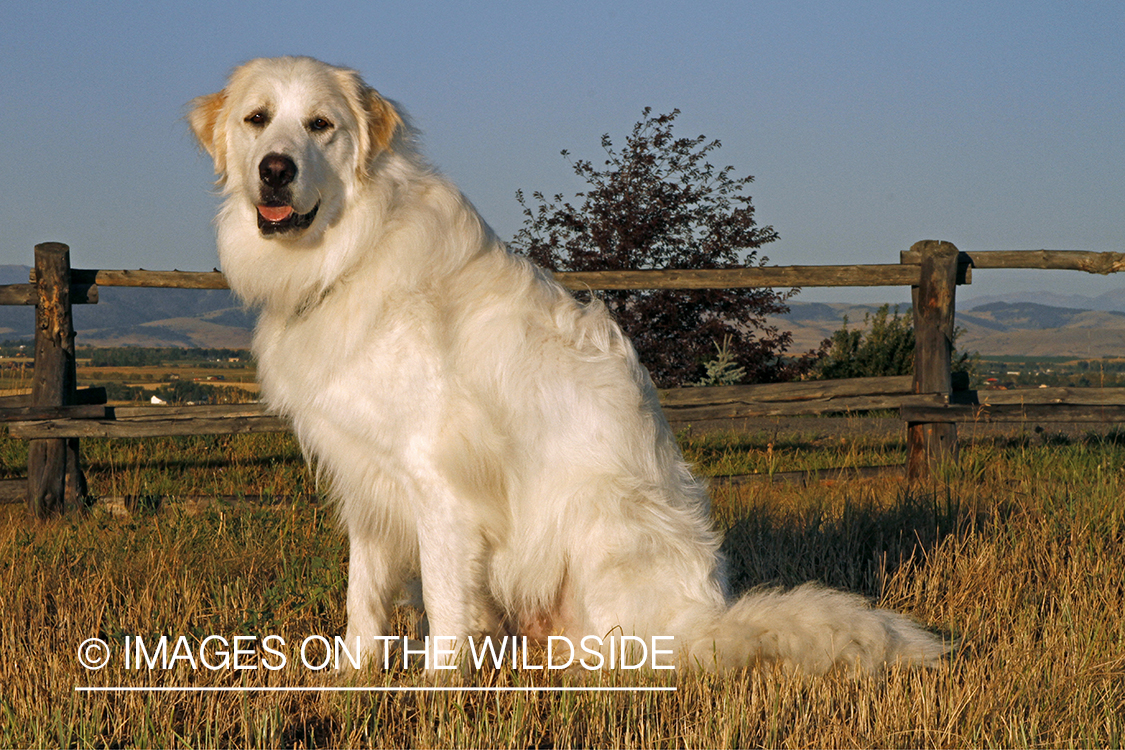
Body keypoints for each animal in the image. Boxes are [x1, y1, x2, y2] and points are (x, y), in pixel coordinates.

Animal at [193, 55, 949, 670]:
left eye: (320, 125)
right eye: (257, 119)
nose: (275, 169)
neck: (350, 250)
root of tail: (702, 622)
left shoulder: (438, 485)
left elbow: (443, 606)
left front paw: (438, 692)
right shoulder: (368, 482)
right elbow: (364, 601)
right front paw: (354, 680)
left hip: (595, 518)